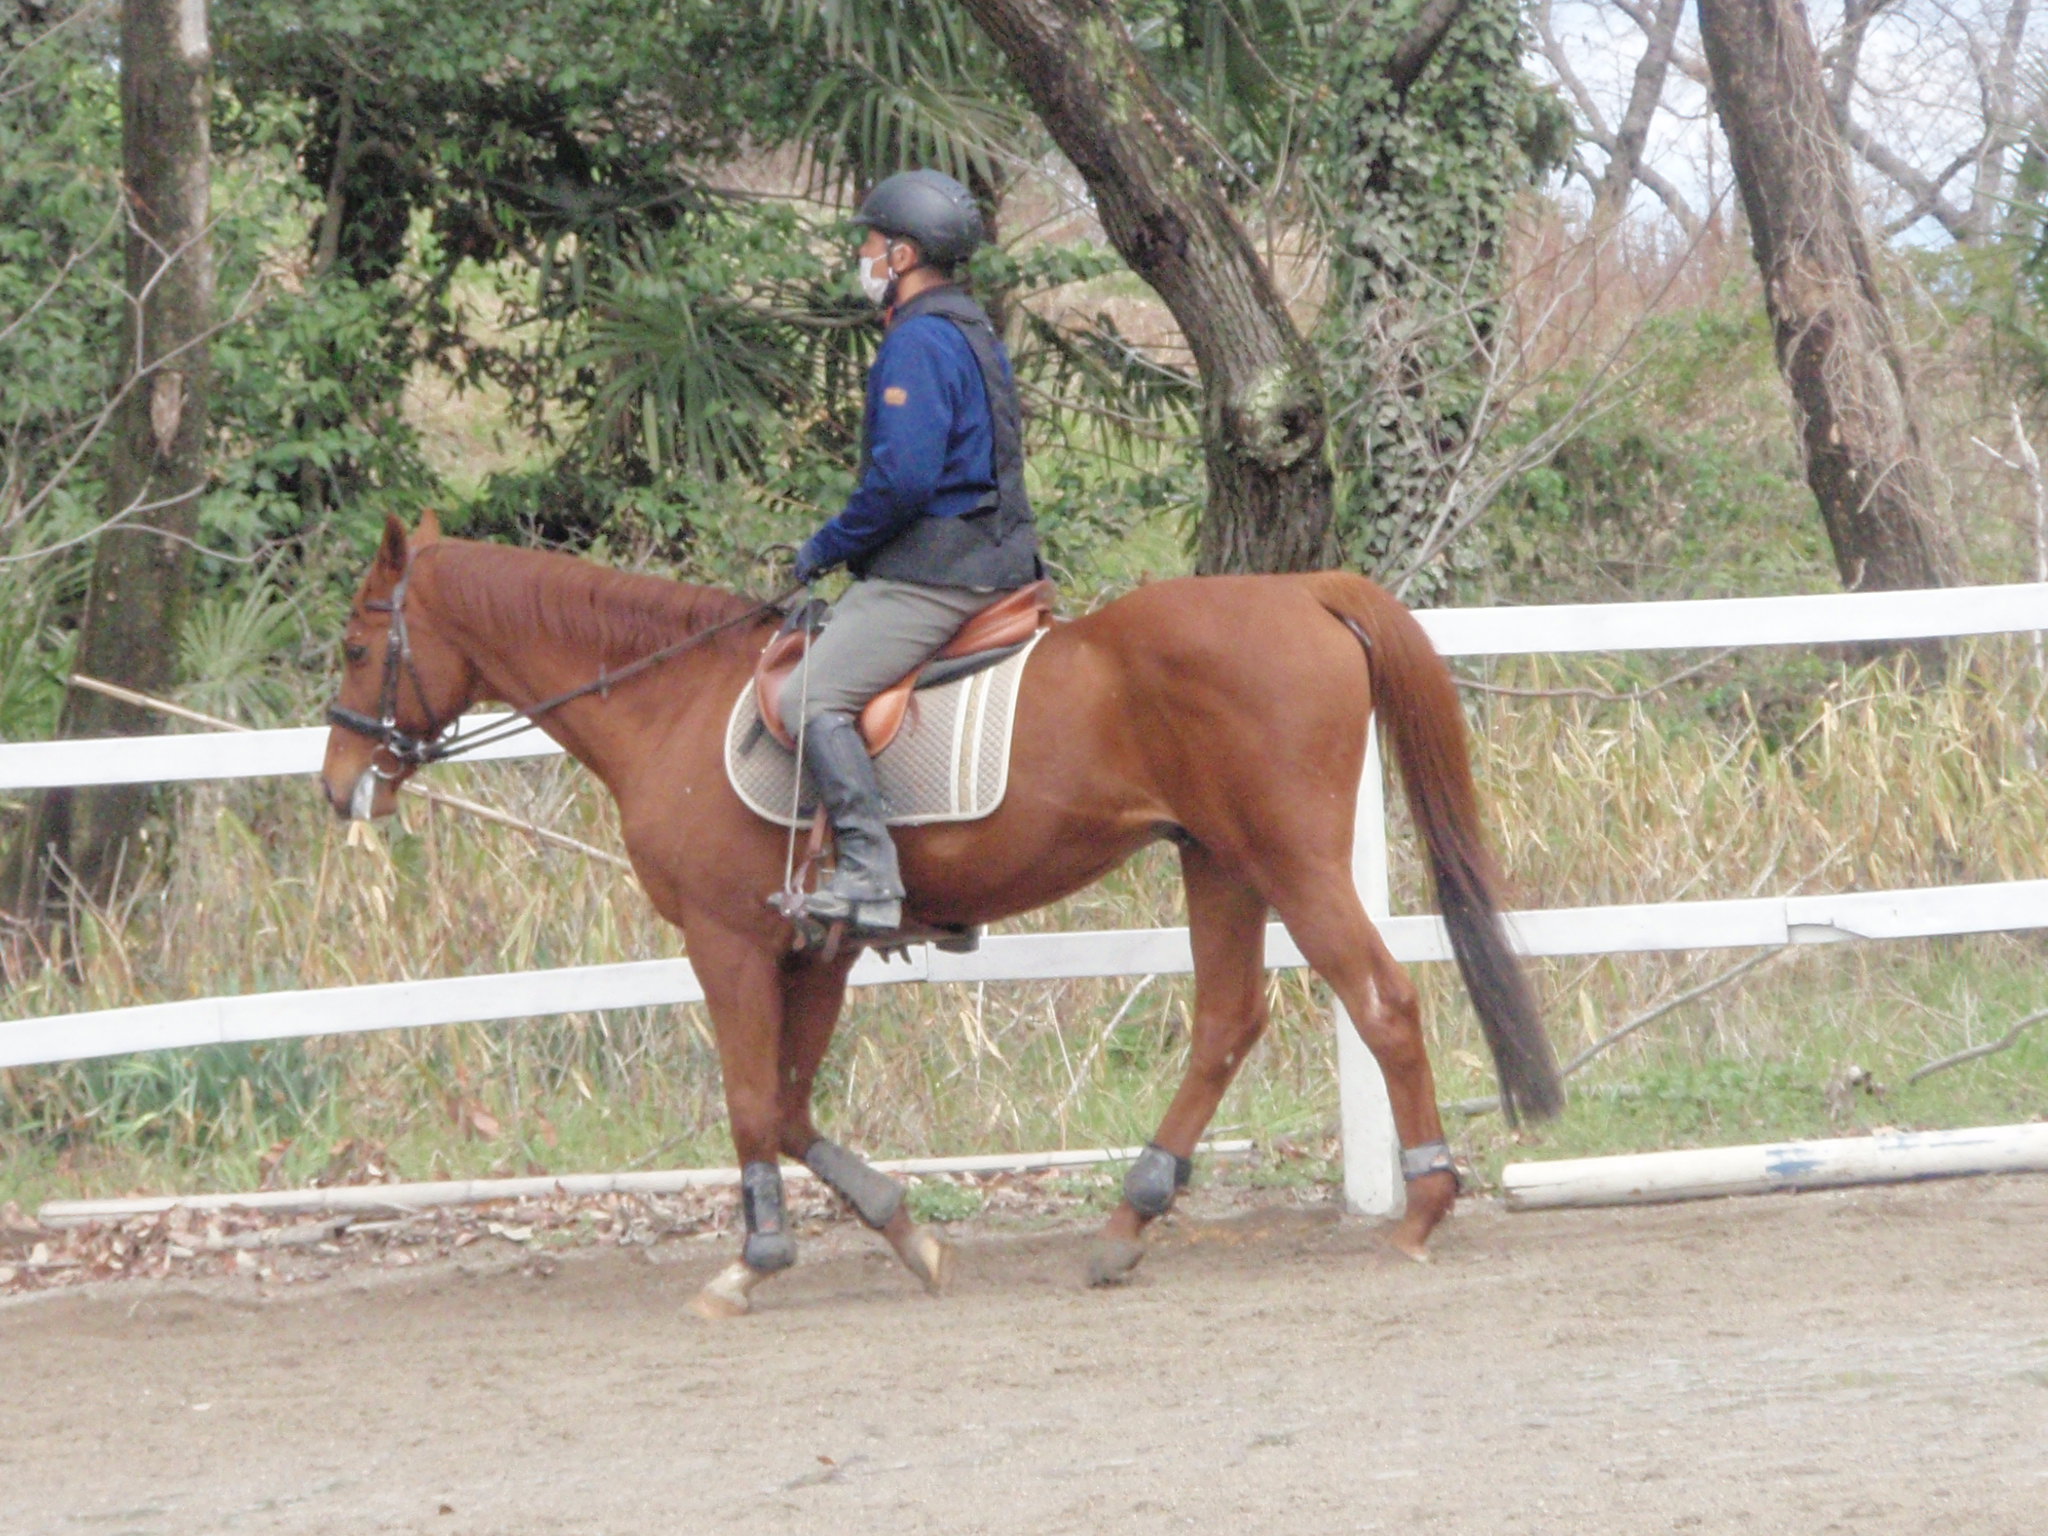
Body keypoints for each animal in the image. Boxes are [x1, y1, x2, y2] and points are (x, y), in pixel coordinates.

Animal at [320, 513, 1561, 1317]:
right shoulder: (813, 952)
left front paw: (754, 1258)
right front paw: (903, 1230)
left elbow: (751, 1104)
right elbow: (788, 1106)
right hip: (1216, 861)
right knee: (1225, 1023)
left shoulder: (728, 943)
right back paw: (1127, 1224)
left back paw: (1420, 1208)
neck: (667, 702)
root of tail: (1302, 588)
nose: (339, 788)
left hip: (1289, 858)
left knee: (1380, 999)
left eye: (355, 642)